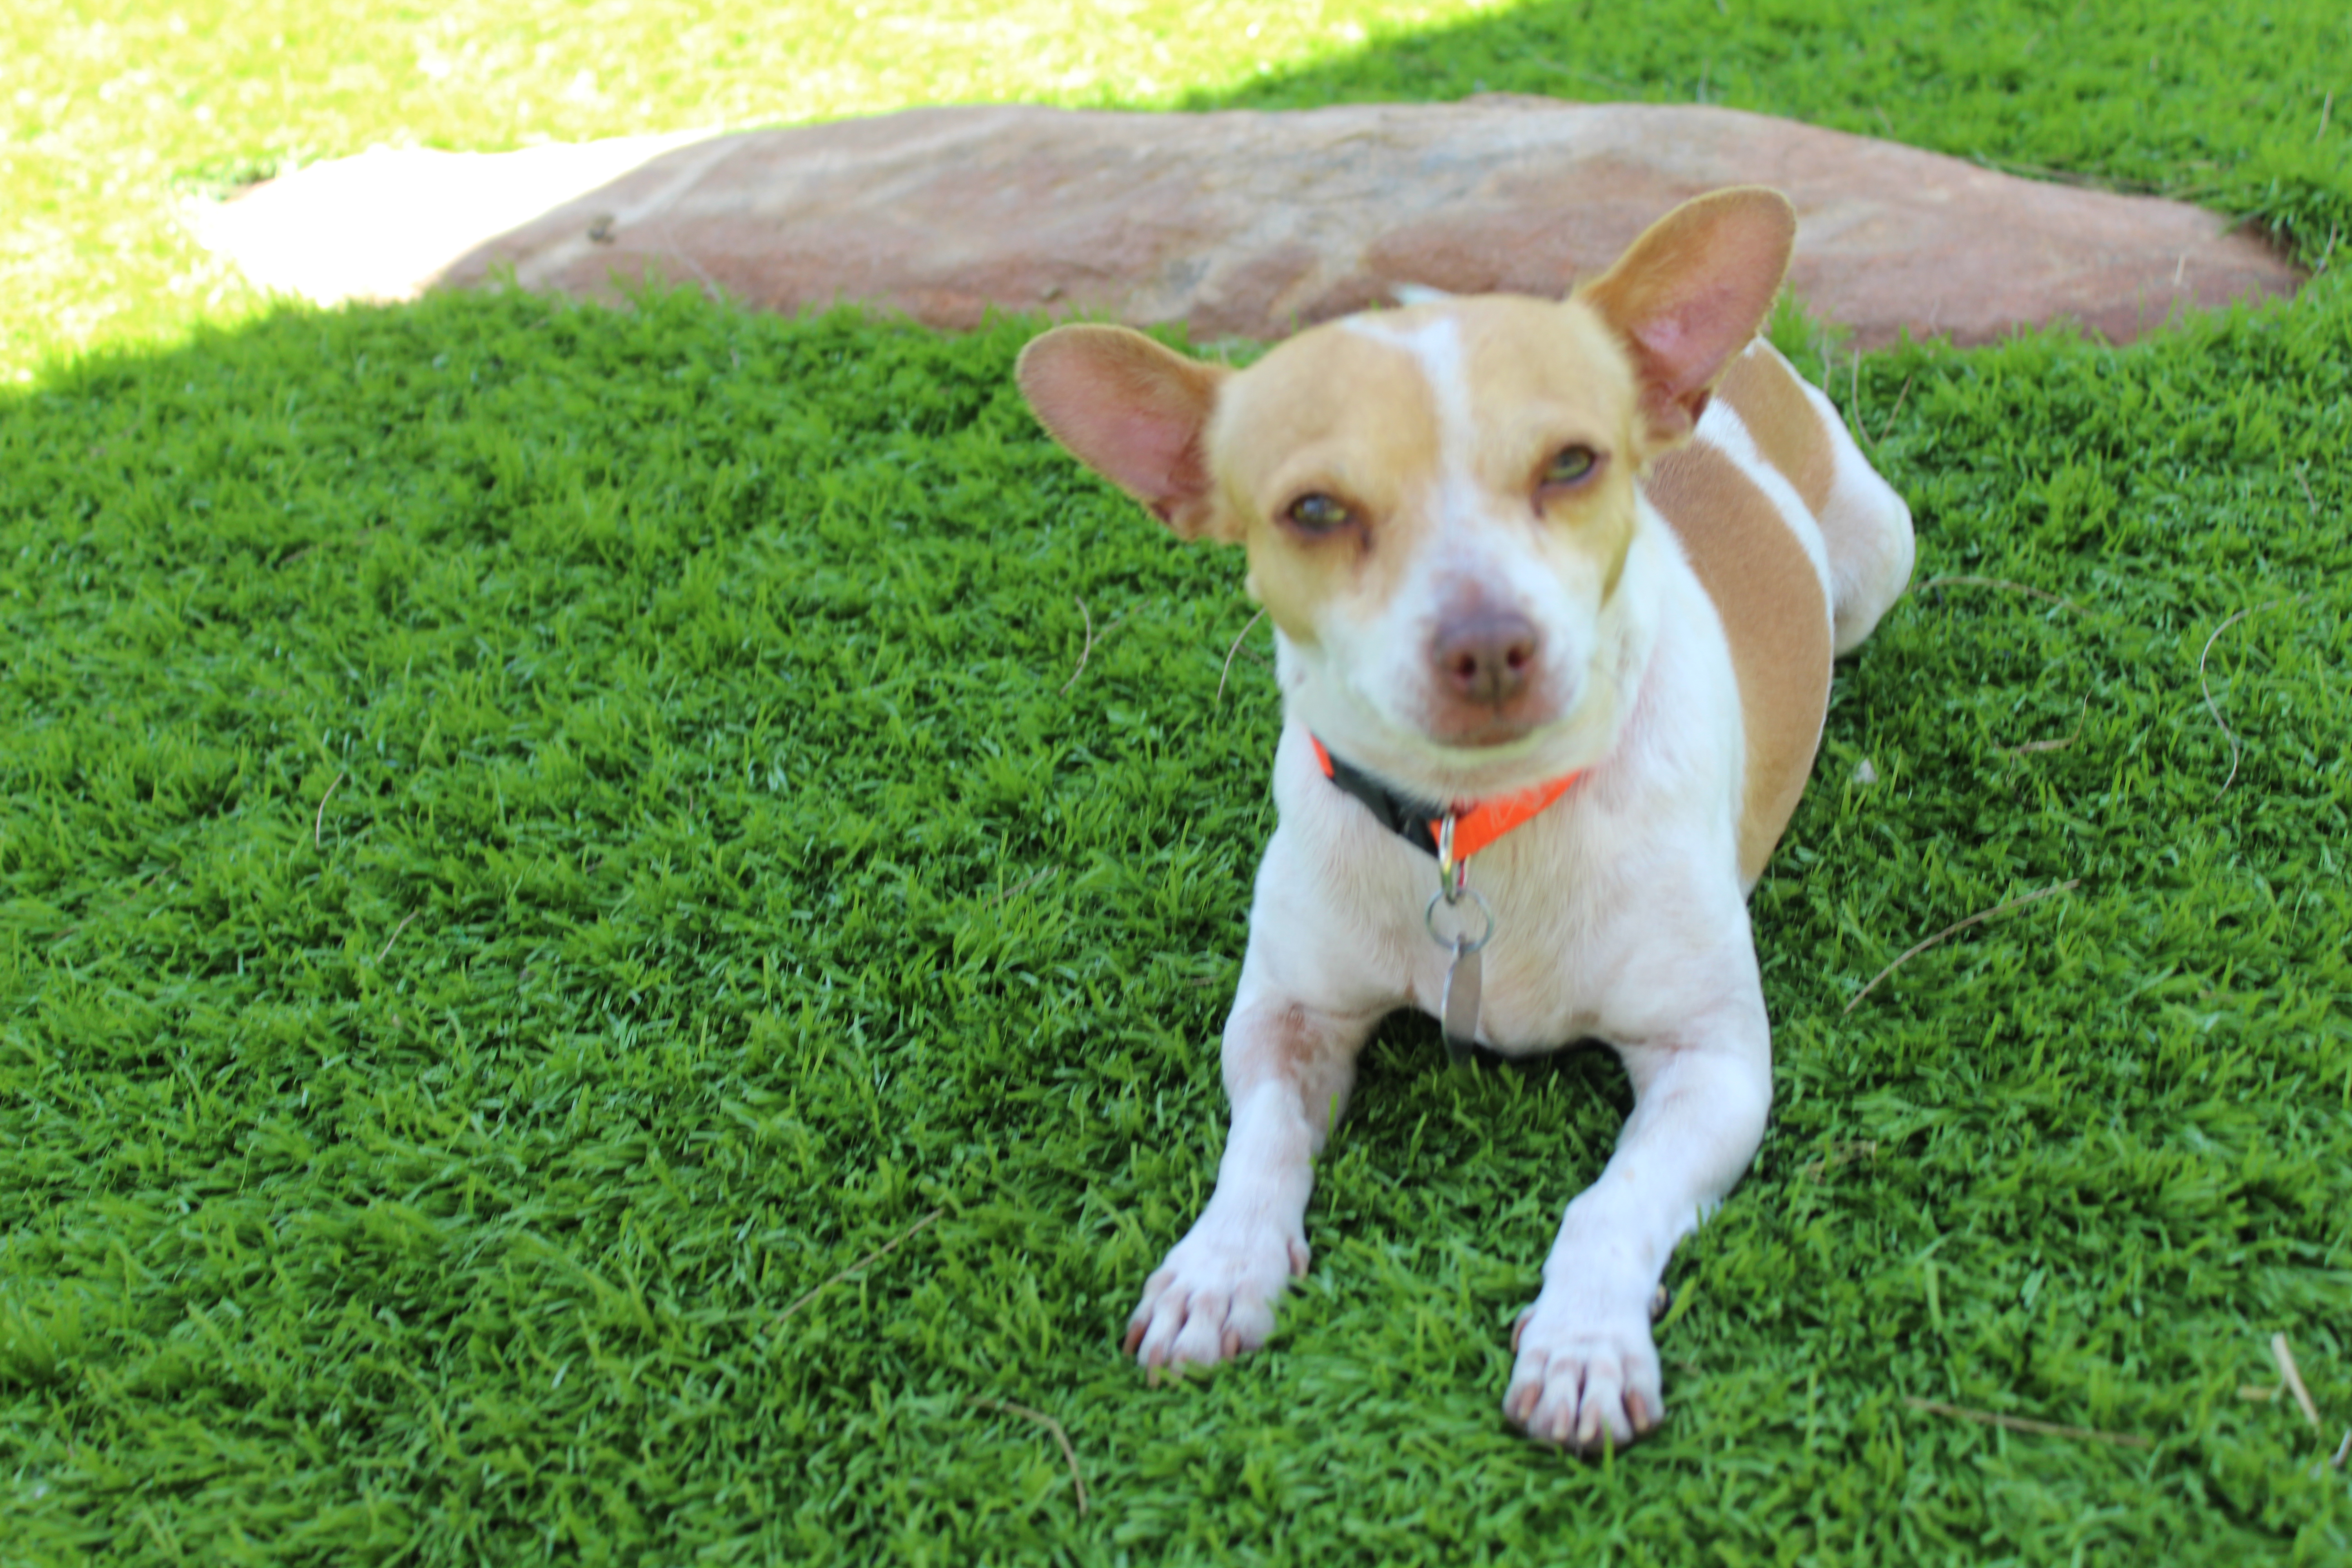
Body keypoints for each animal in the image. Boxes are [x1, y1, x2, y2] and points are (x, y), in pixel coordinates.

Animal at [1011, 190, 1910, 1457]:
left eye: (1574, 462)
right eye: (1314, 510)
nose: (1487, 640)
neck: (1477, 821)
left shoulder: (1713, 1064)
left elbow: (1610, 1200)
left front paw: (1583, 1341)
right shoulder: (1285, 1016)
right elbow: (1260, 1145)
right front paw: (1220, 1266)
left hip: (1881, 555)